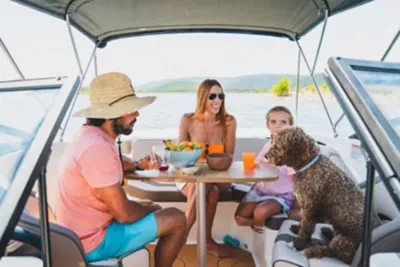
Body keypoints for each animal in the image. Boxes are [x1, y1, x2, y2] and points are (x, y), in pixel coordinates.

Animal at [266, 127, 382, 264]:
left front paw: (298, 244)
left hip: (346, 241)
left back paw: (313, 250)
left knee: (337, 253)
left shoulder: (311, 208)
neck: (309, 166)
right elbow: (303, 223)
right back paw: (326, 232)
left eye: (278, 146)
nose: (266, 156)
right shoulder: (306, 207)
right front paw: (297, 229)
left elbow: (306, 229)